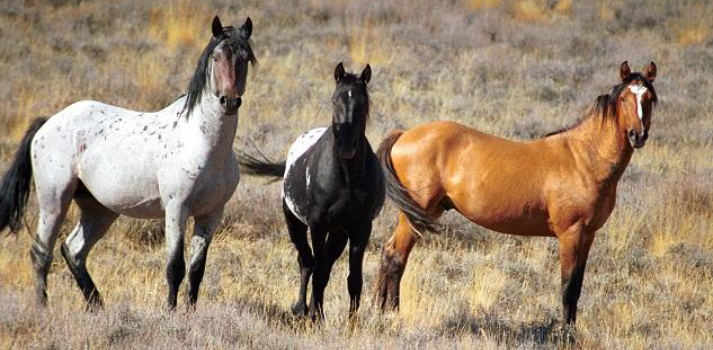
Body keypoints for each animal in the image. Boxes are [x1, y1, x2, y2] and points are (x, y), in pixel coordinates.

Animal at [376, 60, 660, 326]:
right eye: (624, 99)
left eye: (649, 98)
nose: (638, 135)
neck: (583, 158)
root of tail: (403, 134)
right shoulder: (571, 233)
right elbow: (567, 287)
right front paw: (565, 333)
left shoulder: (588, 235)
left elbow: (577, 286)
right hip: (414, 216)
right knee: (396, 257)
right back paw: (392, 314)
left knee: (389, 253)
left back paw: (378, 309)